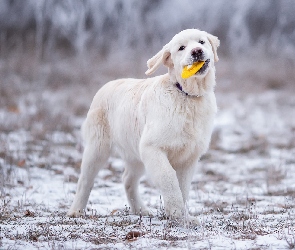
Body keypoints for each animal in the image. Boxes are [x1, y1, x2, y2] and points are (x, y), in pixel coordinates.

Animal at [67, 28, 220, 222]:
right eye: (181, 48)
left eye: (201, 42)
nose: (196, 51)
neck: (186, 96)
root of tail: (106, 85)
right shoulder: (152, 147)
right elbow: (169, 177)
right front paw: (176, 212)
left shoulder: (189, 156)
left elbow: (183, 187)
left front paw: (183, 217)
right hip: (97, 148)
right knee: (85, 180)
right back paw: (76, 211)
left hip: (134, 153)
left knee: (127, 180)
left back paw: (140, 210)